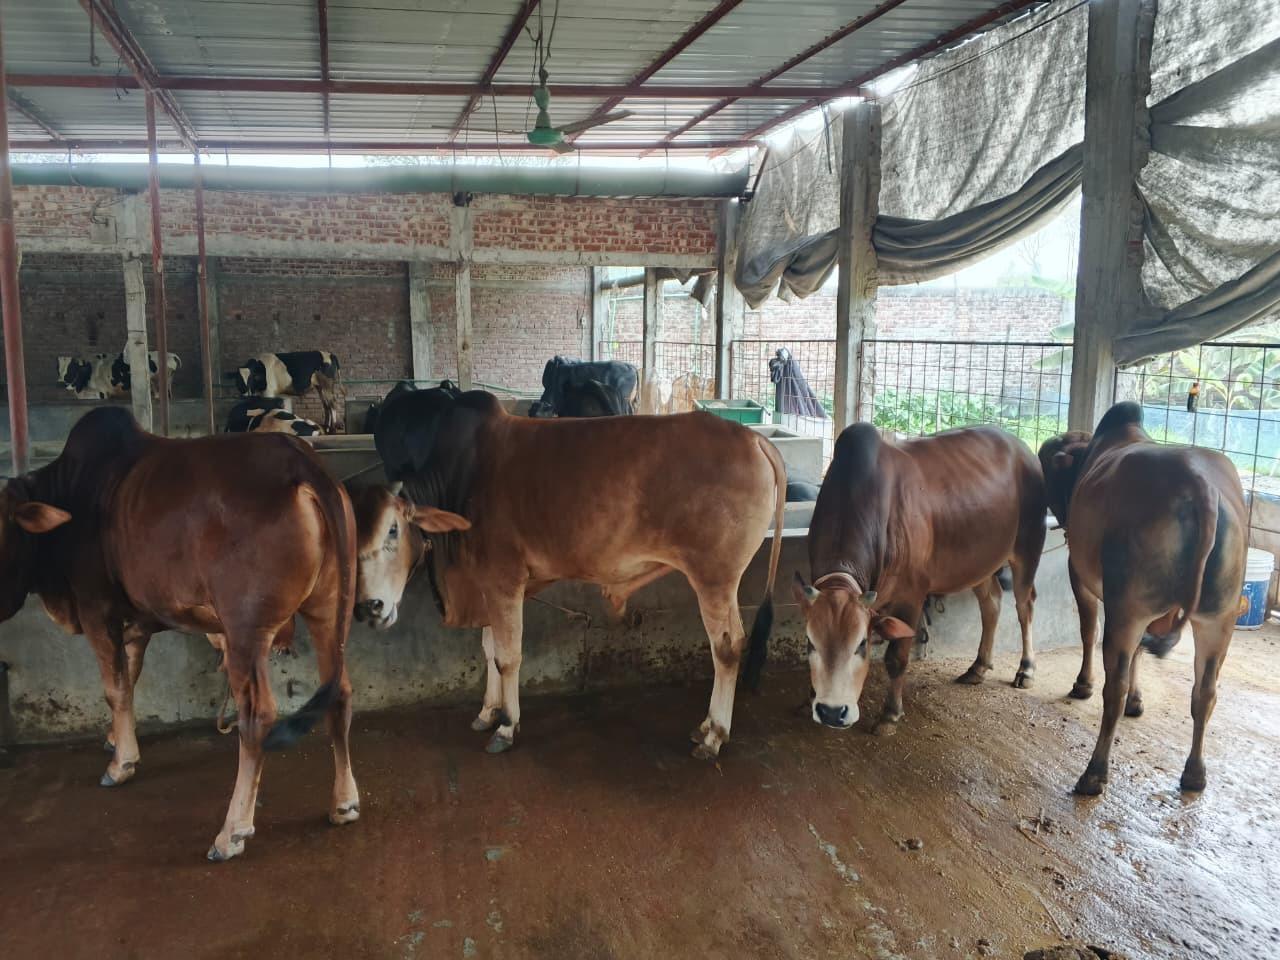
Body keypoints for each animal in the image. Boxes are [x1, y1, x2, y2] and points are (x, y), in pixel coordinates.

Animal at [0, 406, 358, 861]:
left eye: (2, 529)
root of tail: (301, 462)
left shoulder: (96, 608)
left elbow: (114, 687)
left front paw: (119, 765)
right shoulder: (136, 620)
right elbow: (129, 678)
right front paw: (117, 740)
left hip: (245, 629)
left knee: (257, 716)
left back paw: (232, 831)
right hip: (329, 610)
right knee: (340, 693)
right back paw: (343, 802)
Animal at [349, 386, 786, 760]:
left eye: (392, 531)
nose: (369, 607)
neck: (460, 482)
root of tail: (754, 440)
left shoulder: (505, 581)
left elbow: (508, 656)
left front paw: (506, 726)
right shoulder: (487, 585)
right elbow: (489, 650)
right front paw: (487, 712)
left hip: (714, 579)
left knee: (726, 648)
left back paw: (715, 736)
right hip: (723, 584)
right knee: (735, 642)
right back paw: (706, 727)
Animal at [793, 423, 1048, 733]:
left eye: (861, 644)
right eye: (810, 642)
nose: (832, 712)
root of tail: (1022, 448)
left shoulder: (911, 596)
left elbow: (896, 658)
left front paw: (890, 714)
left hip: (1028, 548)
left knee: (1025, 606)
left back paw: (1026, 669)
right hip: (979, 564)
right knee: (992, 603)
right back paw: (978, 666)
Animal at [1039, 402, 1247, 795]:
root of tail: (1201, 486)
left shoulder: (1080, 574)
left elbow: (1087, 630)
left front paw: (1083, 684)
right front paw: (1139, 701)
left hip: (1128, 609)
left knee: (1114, 688)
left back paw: (1093, 773)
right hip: (1219, 618)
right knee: (1205, 692)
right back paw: (1195, 774)